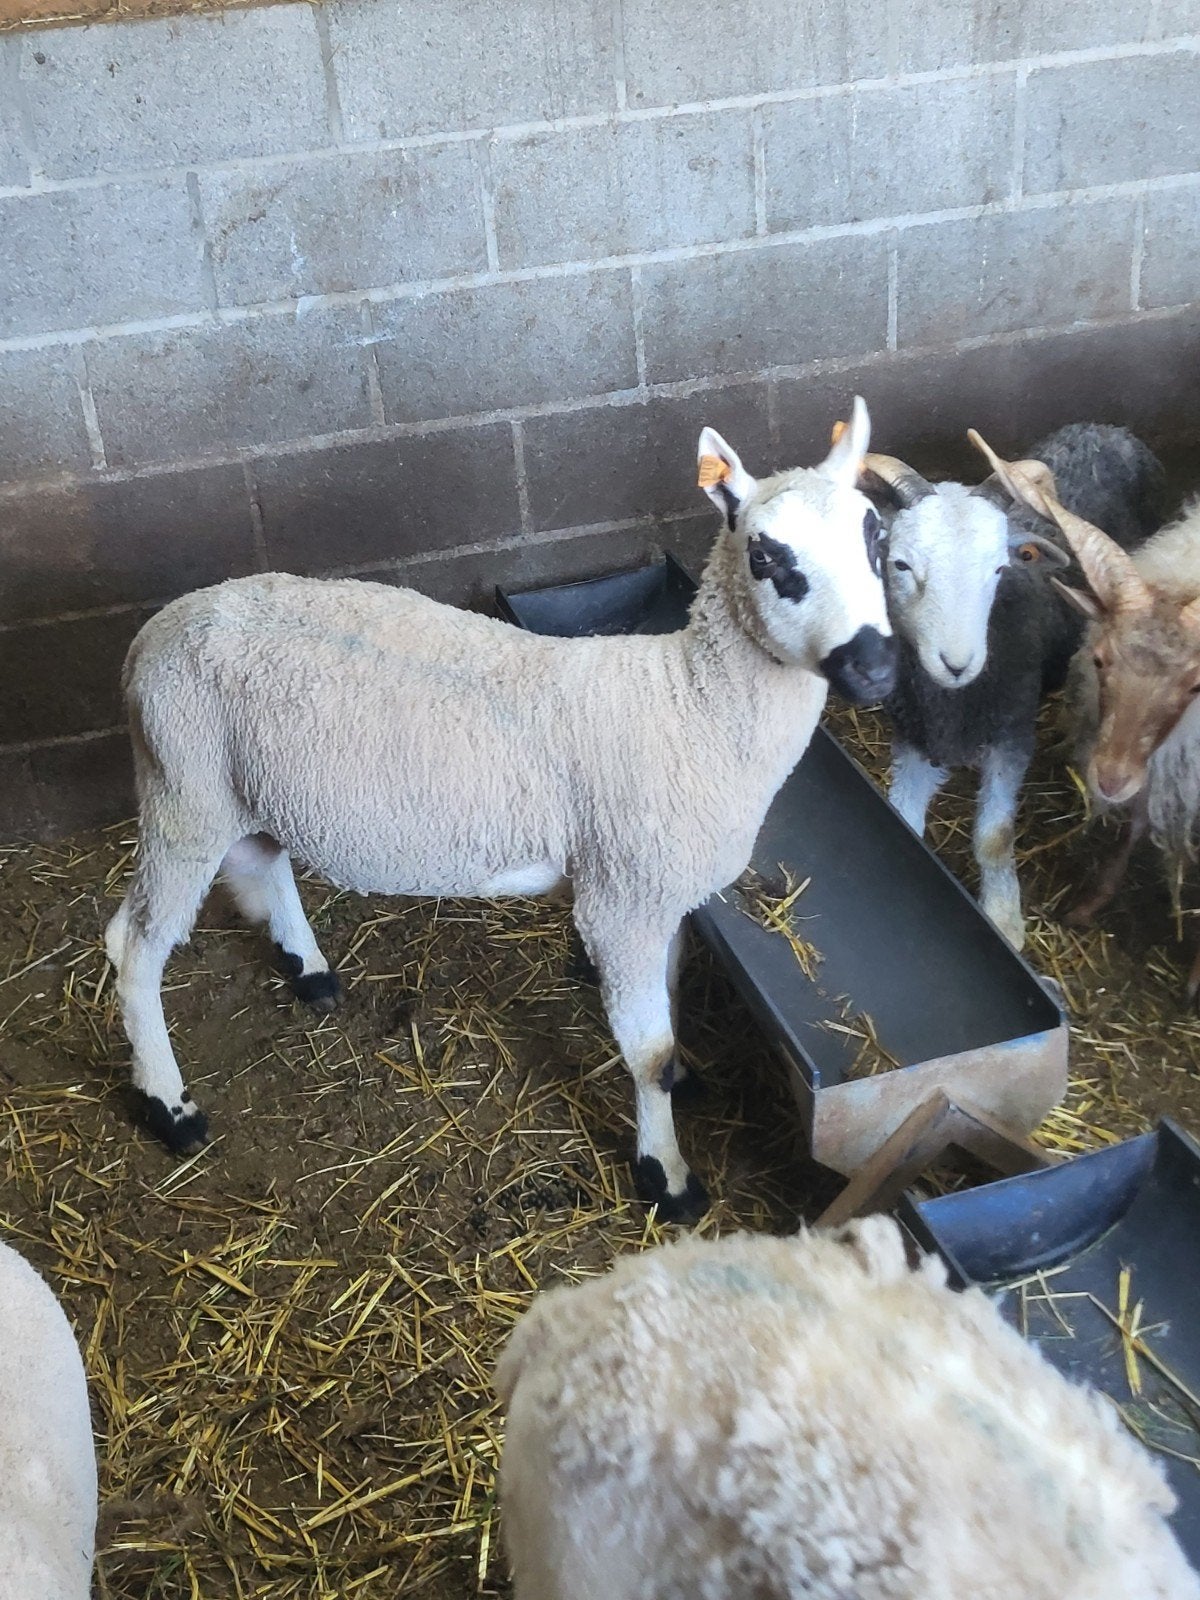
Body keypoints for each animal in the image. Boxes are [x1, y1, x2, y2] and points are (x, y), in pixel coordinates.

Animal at [103, 398, 896, 1223]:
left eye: (878, 539)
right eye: (767, 558)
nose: (875, 666)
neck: (690, 703)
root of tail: (149, 638)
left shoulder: (659, 889)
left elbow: (672, 1002)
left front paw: (685, 1078)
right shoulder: (624, 897)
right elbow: (647, 1052)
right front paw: (668, 1177)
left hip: (243, 786)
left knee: (264, 860)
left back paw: (309, 971)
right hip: (182, 792)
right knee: (134, 944)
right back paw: (170, 1107)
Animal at [860, 423, 1165, 950]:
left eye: (1000, 569)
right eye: (900, 565)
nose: (957, 664)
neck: (955, 702)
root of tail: (1106, 429)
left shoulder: (1013, 737)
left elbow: (994, 837)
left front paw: (1004, 919)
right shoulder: (913, 738)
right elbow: (902, 816)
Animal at [972, 433, 1200, 1003]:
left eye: (1196, 684)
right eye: (1099, 660)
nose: (1109, 779)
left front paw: (1195, 979)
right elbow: (1135, 823)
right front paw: (1088, 904)